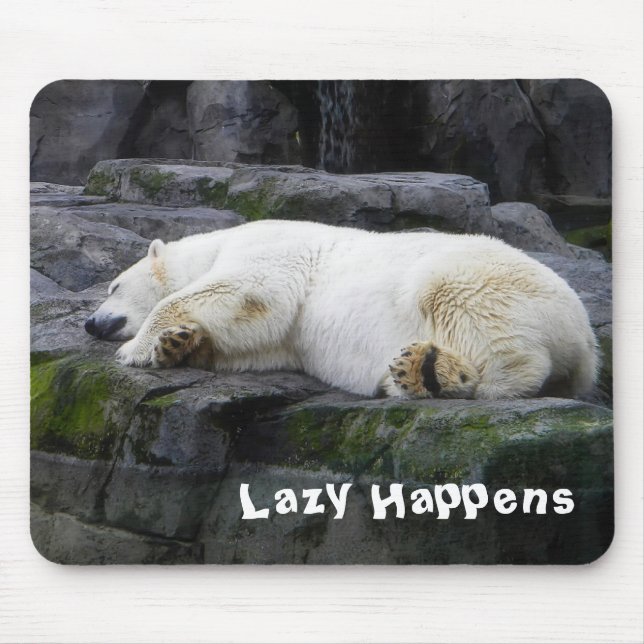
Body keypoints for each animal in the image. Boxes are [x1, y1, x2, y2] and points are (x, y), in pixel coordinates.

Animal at [85, 219, 599, 400]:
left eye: (113, 285)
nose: (90, 323)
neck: (214, 245)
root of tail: (587, 340)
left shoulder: (270, 248)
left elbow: (250, 290)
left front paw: (137, 348)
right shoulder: (281, 340)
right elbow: (256, 339)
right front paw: (177, 344)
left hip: (478, 279)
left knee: (473, 318)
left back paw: (436, 376)